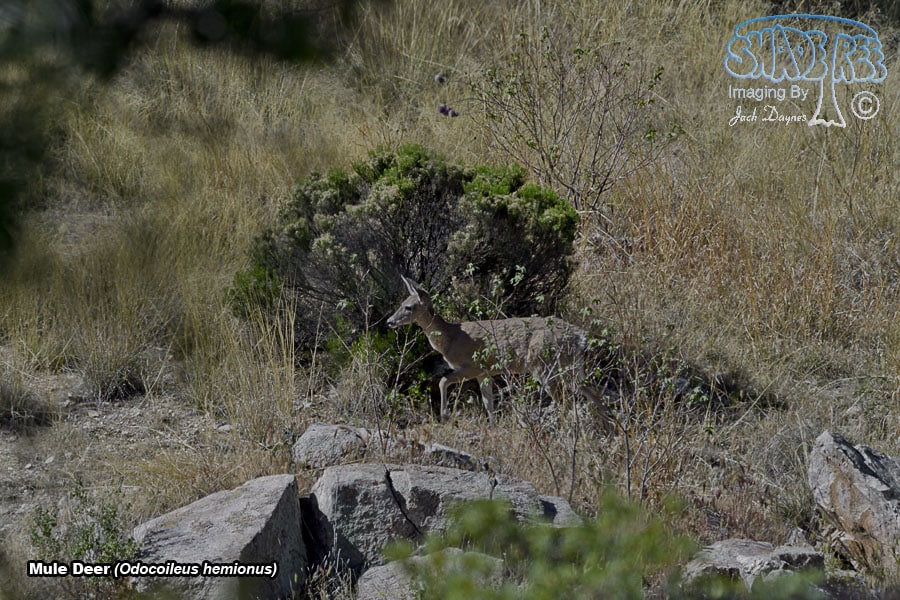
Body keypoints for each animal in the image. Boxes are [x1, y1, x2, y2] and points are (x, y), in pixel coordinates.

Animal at [387, 276, 601, 423]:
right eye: (401, 304)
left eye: (408, 307)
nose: (389, 321)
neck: (451, 338)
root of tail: (580, 336)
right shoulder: (485, 373)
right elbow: (488, 403)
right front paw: (492, 426)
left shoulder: (472, 366)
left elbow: (443, 381)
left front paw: (445, 415)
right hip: (571, 367)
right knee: (595, 394)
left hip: (545, 366)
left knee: (567, 402)